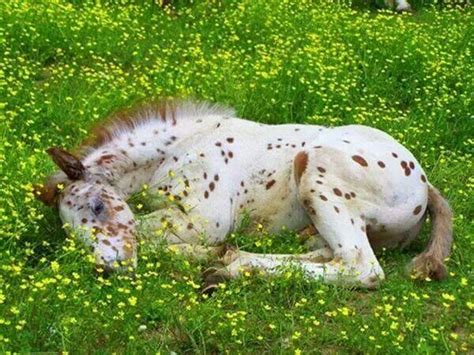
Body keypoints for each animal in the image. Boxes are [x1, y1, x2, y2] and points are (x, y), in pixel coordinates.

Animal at [36, 100, 452, 290]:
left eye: (97, 205)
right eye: (70, 234)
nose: (108, 268)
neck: (176, 150)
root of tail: (426, 185)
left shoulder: (206, 218)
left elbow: (144, 230)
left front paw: (202, 252)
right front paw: (205, 254)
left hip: (317, 172)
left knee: (360, 266)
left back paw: (231, 265)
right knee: (326, 252)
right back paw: (233, 260)